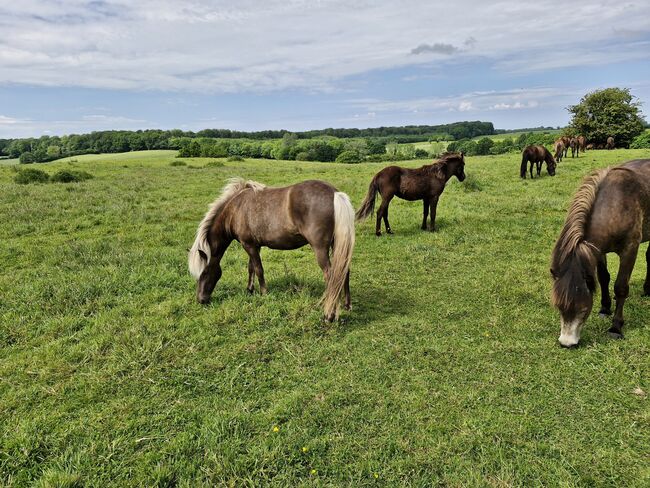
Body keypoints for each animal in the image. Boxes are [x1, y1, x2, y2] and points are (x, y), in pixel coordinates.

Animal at [187, 177, 354, 322]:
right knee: (343, 271)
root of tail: (334, 193)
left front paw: (264, 293)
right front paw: (249, 289)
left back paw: (329, 315)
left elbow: (258, 269)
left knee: (331, 276)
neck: (235, 209)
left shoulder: (249, 245)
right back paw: (347, 305)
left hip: (320, 249)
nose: (201, 300)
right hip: (337, 245)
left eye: (204, 273)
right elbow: (251, 268)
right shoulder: (254, 246)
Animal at [548, 160, 648, 346]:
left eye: (582, 309)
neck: (615, 205)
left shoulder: (630, 249)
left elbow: (621, 287)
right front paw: (604, 308)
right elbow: (603, 278)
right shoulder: (597, 250)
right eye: (559, 307)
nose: (566, 343)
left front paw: (615, 327)